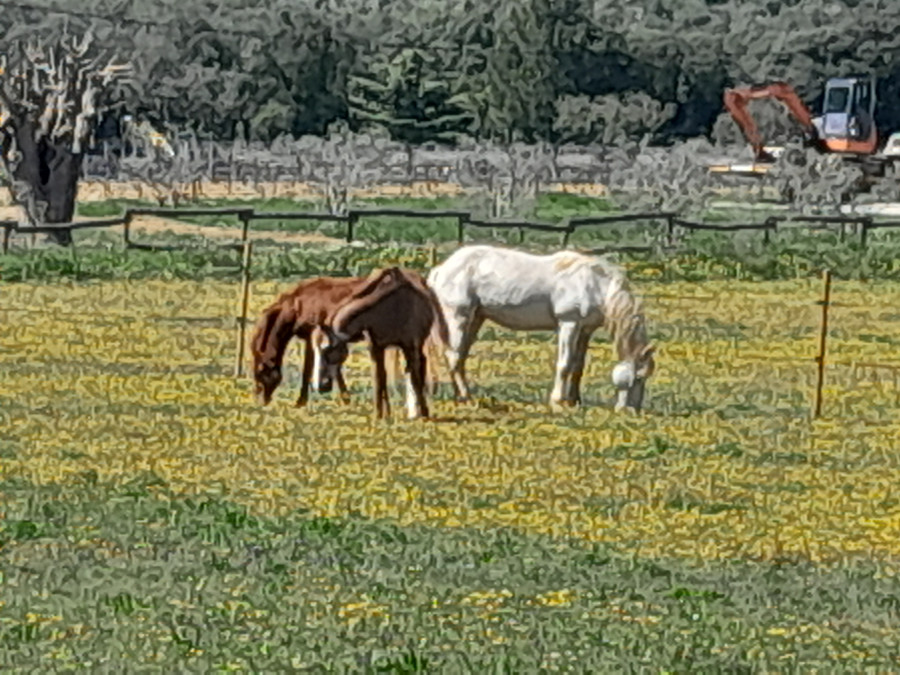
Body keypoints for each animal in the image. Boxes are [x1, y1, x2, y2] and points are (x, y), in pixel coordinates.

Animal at [312, 268, 450, 418]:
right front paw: (380, 415)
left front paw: (424, 412)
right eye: (316, 350)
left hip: (418, 345)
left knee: (419, 366)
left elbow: (415, 376)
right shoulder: (376, 348)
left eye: (328, 350)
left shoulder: (410, 346)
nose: (318, 386)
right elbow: (379, 378)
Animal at [426, 244, 656, 410]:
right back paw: (467, 398)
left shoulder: (584, 331)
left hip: (476, 319)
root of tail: (442, 269)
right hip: (458, 317)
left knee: (460, 358)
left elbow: (578, 366)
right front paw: (558, 401)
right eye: (638, 377)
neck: (594, 283)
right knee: (454, 356)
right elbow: (564, 364)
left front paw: (574, 400)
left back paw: (459, 396)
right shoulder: (569, 324)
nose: (630, 410)